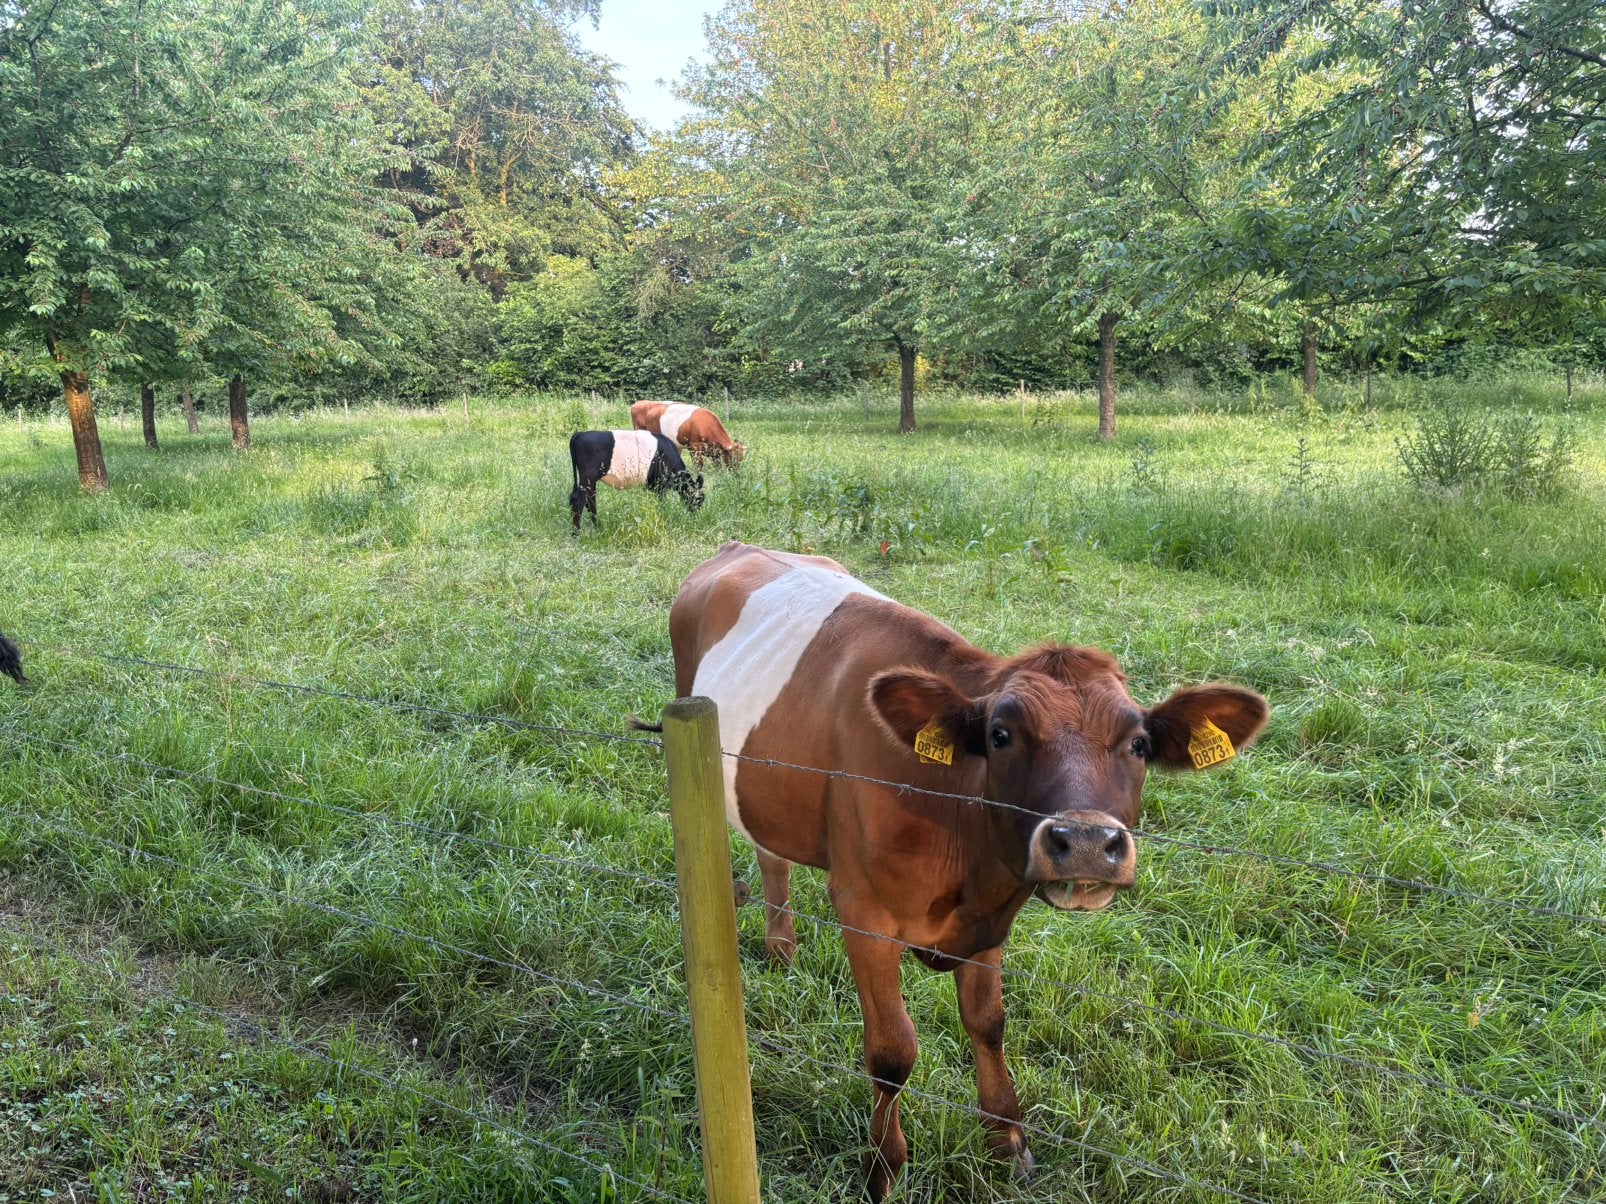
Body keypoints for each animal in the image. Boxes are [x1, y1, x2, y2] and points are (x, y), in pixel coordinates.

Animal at [568, 430, 704, 532]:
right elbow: (659, 504)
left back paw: (598, 527)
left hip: (589, 481)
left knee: (590, 501)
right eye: (700, 499)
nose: (696, 515)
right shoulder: (660, 485)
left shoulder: (651, 486)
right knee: (579, 502)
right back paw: (576, 533)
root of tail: (580, 434)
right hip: (588, 477)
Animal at [664, 542, 1268, 1200]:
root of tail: (740, 547)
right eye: (1000, 735)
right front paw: (883, 1169)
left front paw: (1007, 1142)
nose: (1085, 842)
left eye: (1137, 744)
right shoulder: (862, 910)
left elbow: (989, 1023)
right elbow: (893, 1051)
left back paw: (782, 950)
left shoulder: (992, 917)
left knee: (772, 852)